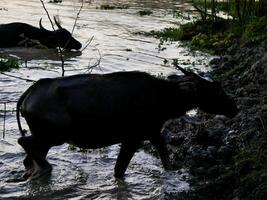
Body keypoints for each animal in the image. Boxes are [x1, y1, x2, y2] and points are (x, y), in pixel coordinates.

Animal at [16, 67, 239, 180]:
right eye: (215, 89)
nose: (234, 107)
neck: (166, 100)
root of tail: (26, 97)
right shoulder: (133, 137)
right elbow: (119, 170)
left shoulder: (153, 132)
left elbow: (166, 158)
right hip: (53, 135)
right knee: (24, 142)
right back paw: (47, 168)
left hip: (46, 138)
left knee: (29, 157)